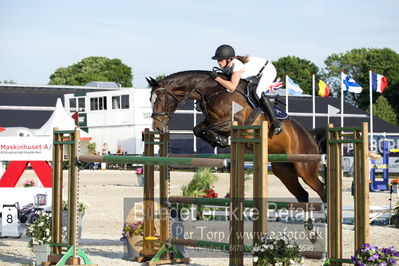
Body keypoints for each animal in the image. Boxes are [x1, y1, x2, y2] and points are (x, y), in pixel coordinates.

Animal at [148, 69, 326, 203]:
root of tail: (310, 136)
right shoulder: (212, 120)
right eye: (151, 99)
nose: (157, 127)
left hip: (305, 168)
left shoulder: (234, 121)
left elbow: (208, 130)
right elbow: (198, 130)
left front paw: (220, 140)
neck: (212, 91)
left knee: (322, 190)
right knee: (303, 195)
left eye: (161, 98)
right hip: (284, 170)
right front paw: (218, 141)